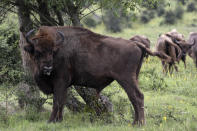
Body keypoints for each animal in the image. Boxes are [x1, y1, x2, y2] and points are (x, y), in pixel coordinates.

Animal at [23, 26, 170, 125]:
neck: (59, 49)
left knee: (137, 96)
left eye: (52, 51)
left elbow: (57, 102)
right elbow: (62, 101)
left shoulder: (60, 82)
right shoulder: (64, 85)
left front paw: (51, 121)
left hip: (126, 79)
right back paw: (135, 123)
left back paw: (139, 124)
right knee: (135, 98)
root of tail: (135, 43)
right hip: (134, 77)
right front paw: (59, 120)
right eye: (37, 51)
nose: (47, 67)